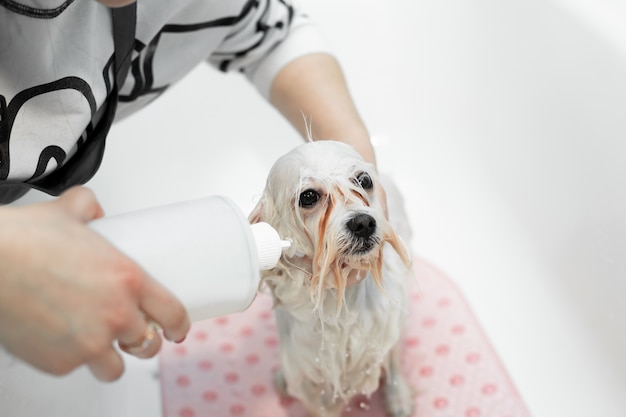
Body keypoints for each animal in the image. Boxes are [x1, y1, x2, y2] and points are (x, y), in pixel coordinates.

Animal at [249, 141, 414, 416]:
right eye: (308, 196)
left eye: (364, 180)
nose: (363, 223)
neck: (336, 302)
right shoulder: (310, 371)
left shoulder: (380, 332)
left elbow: (391, 357)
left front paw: (398, 394)